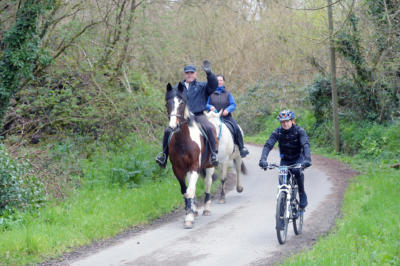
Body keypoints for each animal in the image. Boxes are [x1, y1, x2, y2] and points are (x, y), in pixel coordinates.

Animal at [165, 82, 216, 228]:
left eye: (181, 103)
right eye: (167, 103)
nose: (173, 126)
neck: (183, 141)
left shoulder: (194, 166)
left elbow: (191, 190)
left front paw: (189, 217)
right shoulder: (178, 169)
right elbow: (185, 191)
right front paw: (190, 212)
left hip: (209, 166)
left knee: (207, 183)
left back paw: (206, 209)